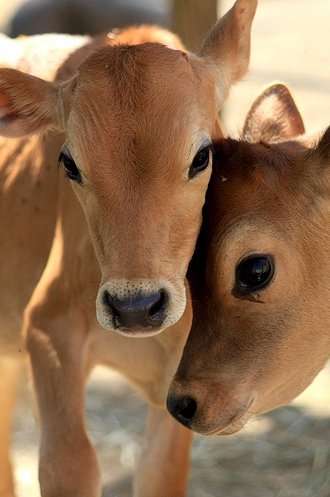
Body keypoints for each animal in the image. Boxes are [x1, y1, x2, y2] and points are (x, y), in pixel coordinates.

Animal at [0, 0, 258, 496]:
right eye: (69, 163)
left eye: (202, 156)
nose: (135, 307)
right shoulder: (46, 329)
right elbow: (70, 466)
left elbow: (161, 472)